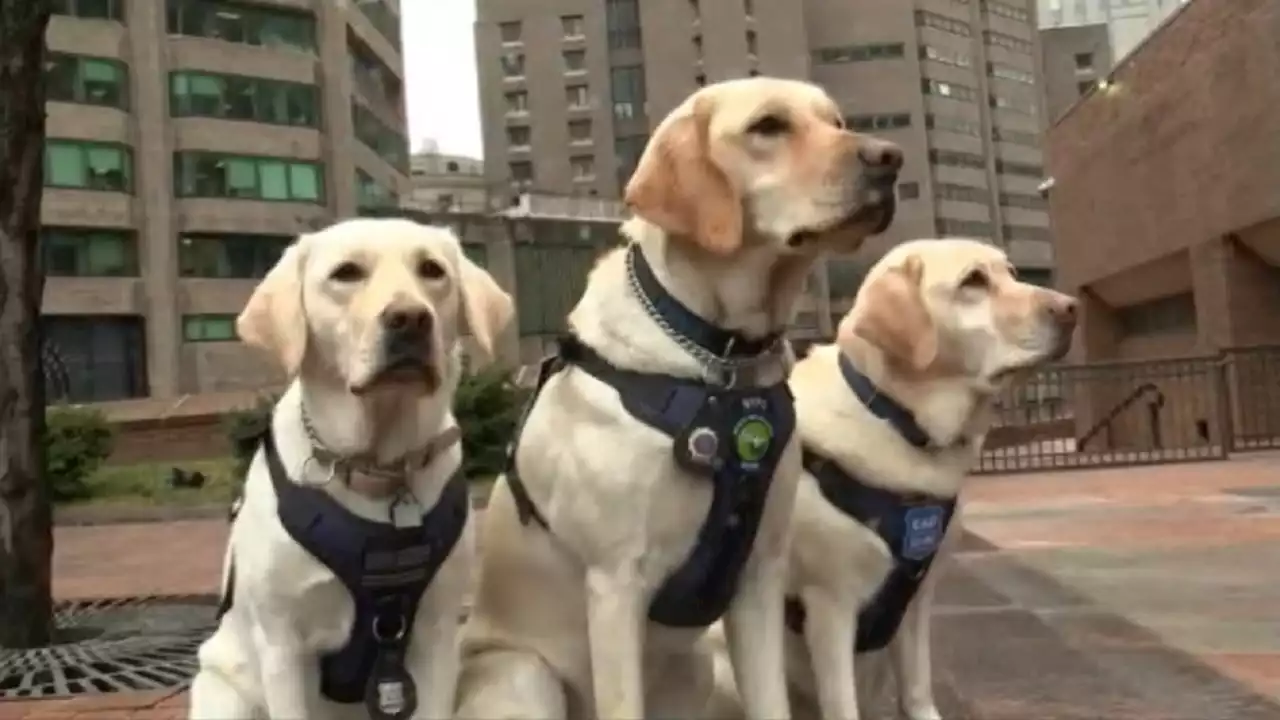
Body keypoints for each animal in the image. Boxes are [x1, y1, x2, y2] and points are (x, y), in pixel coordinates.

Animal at [186, 217, 514, 717]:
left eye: (432, 270)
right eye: (346, 273)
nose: (410, 318)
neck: (379, 466)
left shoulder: (436, 634)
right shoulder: (283, 646)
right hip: (224, 691)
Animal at [455, 78, 906, 717]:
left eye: (836, 121)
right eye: (768, 126)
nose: (890, 159)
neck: (722, 360)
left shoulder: (759, 576)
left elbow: (772, 701)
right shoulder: (616, 582)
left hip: (694, 670)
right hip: (524, 678)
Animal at [706, 237, 1075, 717]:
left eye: (1011, 272)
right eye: (973, 281)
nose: (1071, 308)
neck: (898, 421)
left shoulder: (916, 601)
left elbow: (917, 689)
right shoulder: (830, 604)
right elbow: (842, 705)